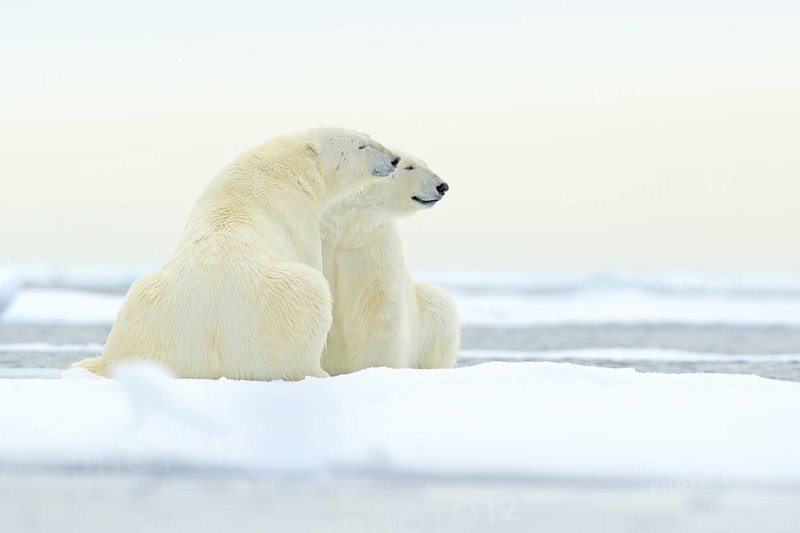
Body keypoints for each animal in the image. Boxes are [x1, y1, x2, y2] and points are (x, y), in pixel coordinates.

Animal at [73, 128, 399, 380]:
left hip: (143, 306)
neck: (287, 169)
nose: (394, 159)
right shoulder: (299, 221)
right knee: (312, 298)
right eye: (361, 144)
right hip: (285, 308)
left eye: (369, 137)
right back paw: (318, 371)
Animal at [320, 151, 460, 375]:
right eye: (409, 167)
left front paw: (374, 368)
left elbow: (377, 307)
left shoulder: (372, 246)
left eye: (425, 164)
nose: (442, 186)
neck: (343, 227)